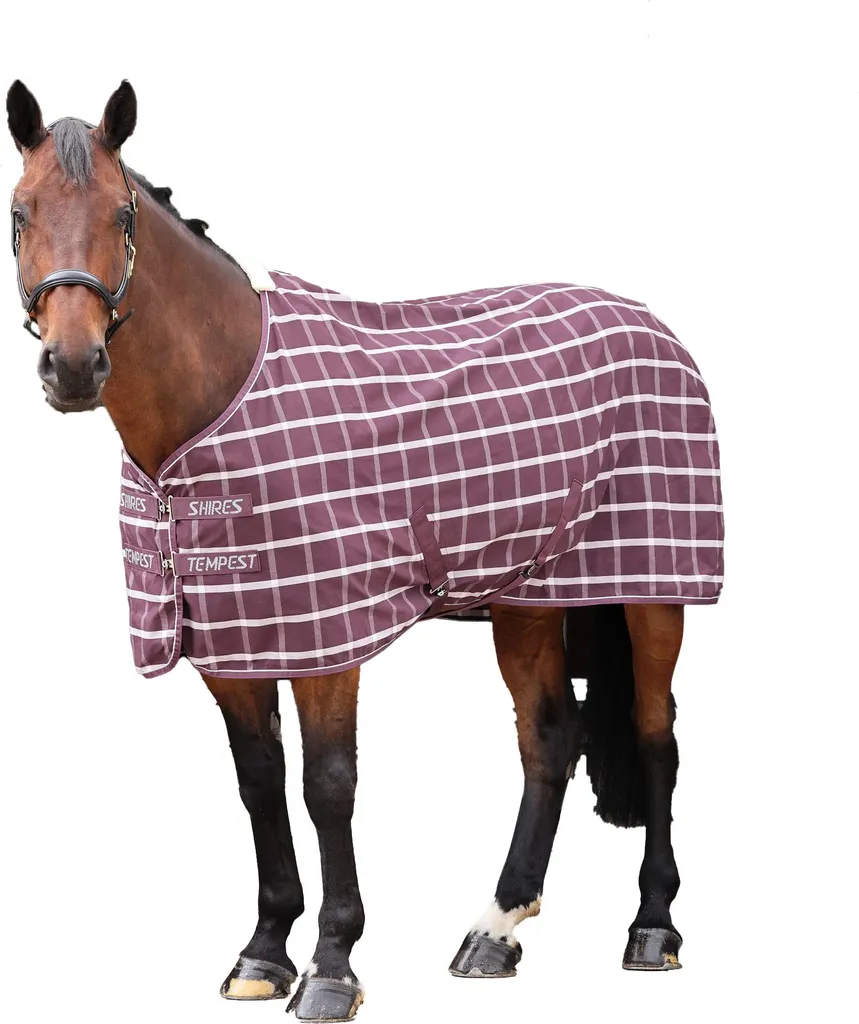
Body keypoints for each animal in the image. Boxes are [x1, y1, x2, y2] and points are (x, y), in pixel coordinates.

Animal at [6, 80, 722, 1021]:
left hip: (652, 586)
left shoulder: (326, 638)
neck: (218, 400)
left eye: (123, 215)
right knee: (550, 739)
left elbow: (327, 786)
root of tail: (649, 322)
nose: (74, 366)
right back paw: (495, 929)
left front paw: (331, 965)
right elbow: (259, 780)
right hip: (528, 596)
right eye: (19, 212)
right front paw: (264, 950)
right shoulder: (232, 638)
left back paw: (651, 928)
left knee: (652, 737)